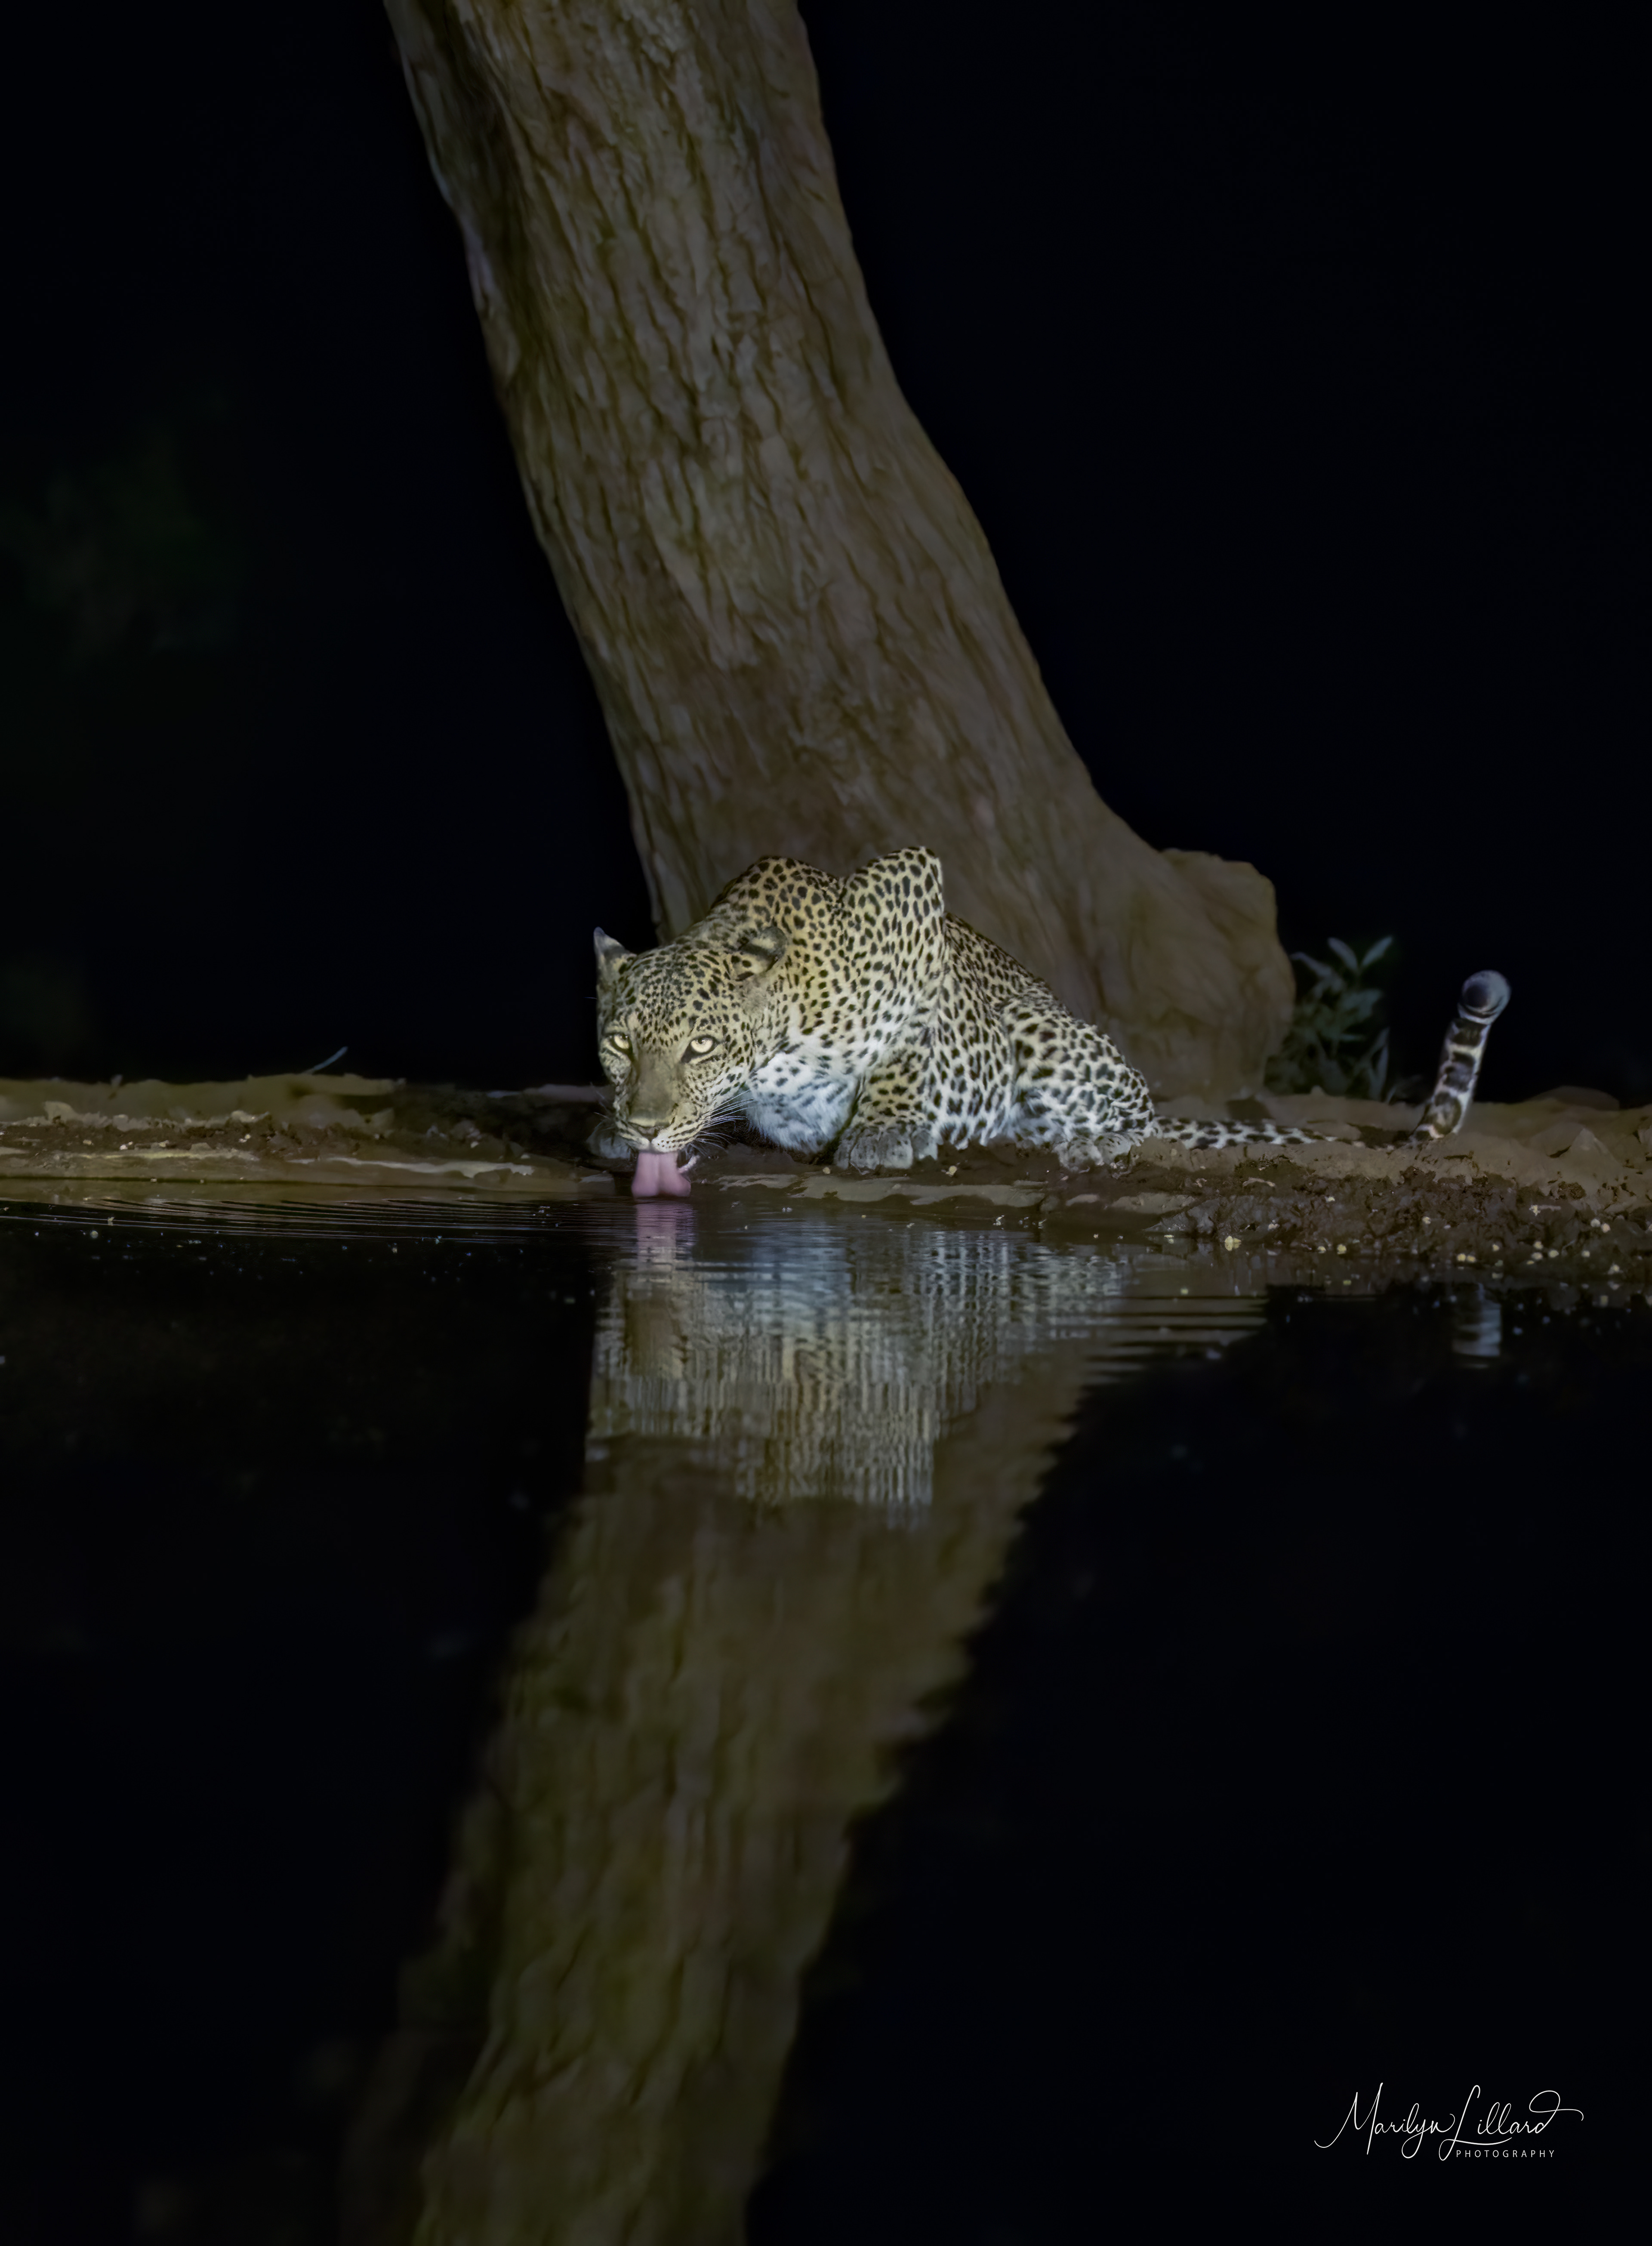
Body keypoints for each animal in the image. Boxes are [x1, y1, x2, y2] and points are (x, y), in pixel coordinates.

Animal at [592, 848, 1509, 1191]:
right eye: (619, 1044)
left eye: (703, 1045)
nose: (645, 1124)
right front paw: (618, 1132)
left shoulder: (916, 904)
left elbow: (904, 1052)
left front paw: (883, 1132)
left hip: (1045, 1033)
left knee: (1137, 1115)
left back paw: (1085, 1143)